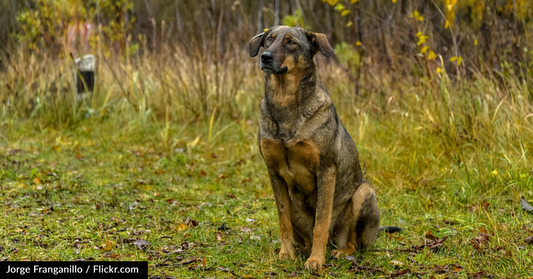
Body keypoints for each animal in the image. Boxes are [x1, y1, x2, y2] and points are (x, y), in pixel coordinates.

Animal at [247, 26, 384, 272]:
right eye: (269, 40)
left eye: (291, 42)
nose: (265, 57)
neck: (285, 102)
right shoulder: (273, 172)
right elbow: (283, 220)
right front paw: (286, 254)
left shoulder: (326, 170)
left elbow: (321, 222)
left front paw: (316, 260)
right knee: (304, 235)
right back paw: (303, 249)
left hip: (364, 193)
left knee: (352, 242)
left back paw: (339, 252)